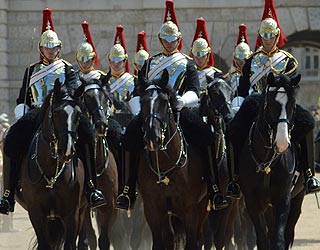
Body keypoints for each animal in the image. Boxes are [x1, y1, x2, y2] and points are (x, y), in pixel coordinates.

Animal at [15, 80, 85, 250]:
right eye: (57, 113)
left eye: (78, 115)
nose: (67, 150)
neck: (52, 172)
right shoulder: (36, 214)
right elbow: (45, 244)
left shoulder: (72, 214)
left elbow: (69, 244)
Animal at [76, 78, 119, 250]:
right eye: (86, 98)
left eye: (106, 98)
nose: (101, 124)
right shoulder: (83, 206)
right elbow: (91, 239)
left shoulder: (110, 207)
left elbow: (104, 240)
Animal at [134, 70, 209, 250]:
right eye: (142, 101)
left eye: (164, 101)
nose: (152, 137)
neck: (165, 166)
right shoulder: (152, 209)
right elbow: (159, 243)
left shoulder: (190, 209)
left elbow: (192, 243)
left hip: (203, 206)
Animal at [230, 73, 304, 249]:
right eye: (270, 104)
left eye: (293, 105)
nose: (282, 143)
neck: (266, 162)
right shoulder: (253, 202)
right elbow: (263, 239)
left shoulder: (283, 199)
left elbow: (279, 240)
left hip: (297, 198)